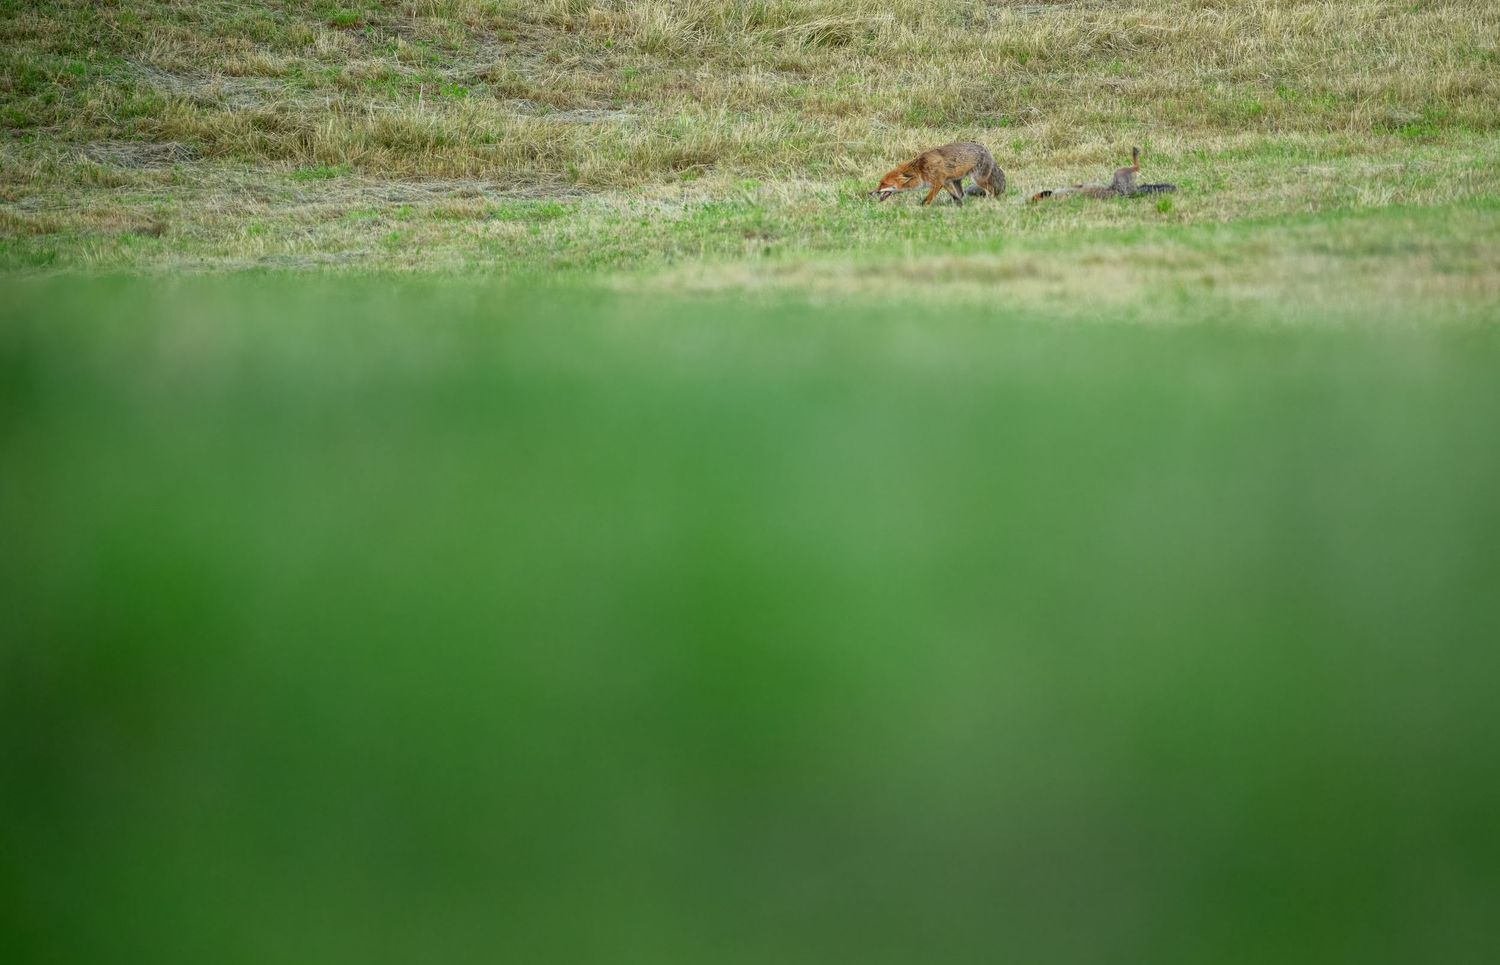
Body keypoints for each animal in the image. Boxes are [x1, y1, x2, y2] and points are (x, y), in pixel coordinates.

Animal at [869, 141, 1005, 206]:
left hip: (978, 179)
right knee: (962, 194)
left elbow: (927, 200)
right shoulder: (945, 182)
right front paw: (958, 205)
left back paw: (990, 201)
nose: (870, 193)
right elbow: (955, 197)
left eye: (883, 184)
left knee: (991, 190)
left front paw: (922, 208)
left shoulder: (937, 183)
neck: (920, 169)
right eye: (880, 183)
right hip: (956, 181)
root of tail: (987, 151)